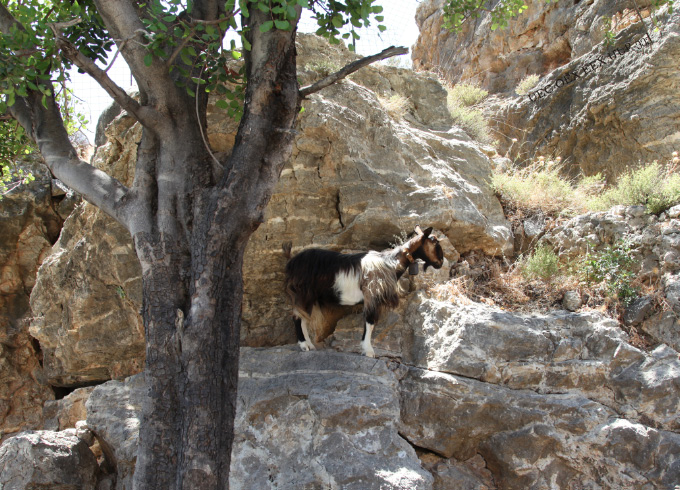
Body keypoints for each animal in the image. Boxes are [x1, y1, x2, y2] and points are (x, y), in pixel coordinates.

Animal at [282, 225, 446, 356]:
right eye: (435, 242)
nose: (440, 263)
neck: (390, 263)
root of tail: (291, 262)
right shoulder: (372, 295)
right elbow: (370, 322)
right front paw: (368, 351)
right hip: (302, 293)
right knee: (297, 318)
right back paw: (304, 345)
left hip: (309, 297)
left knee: (303, 318)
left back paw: (309, 345)